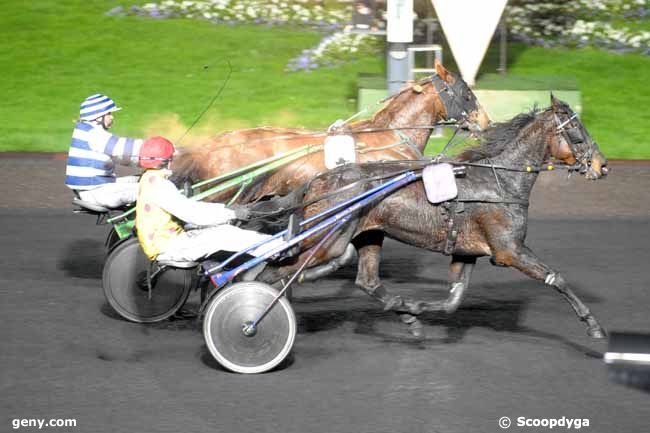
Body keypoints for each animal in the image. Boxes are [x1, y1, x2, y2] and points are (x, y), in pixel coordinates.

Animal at [252, 96, 608, 340]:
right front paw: (593, 325)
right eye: (576, 130)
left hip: (368, 234)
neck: (499, 181)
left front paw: (414, 310)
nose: (602, 165)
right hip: (327, 241)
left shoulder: (466, 252)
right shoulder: (510, 250)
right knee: (275, 272)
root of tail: (318, 180)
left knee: (365, 280)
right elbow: (556, 278)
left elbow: (453, 300)